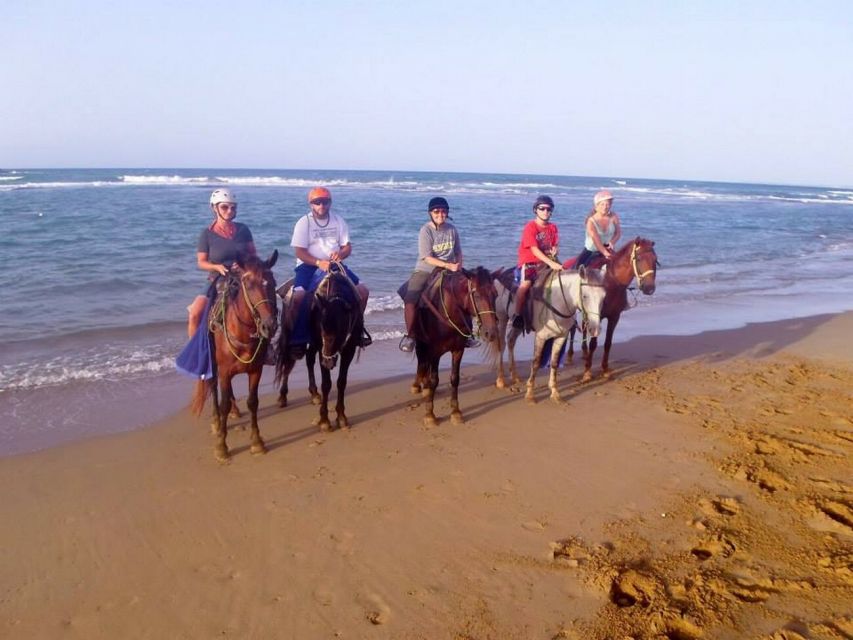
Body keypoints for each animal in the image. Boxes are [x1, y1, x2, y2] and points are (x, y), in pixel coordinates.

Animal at [189, 250, 276, 460]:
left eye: (272, 282)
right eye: (249, 285)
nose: (269, 325)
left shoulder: (256, 370)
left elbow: (253, 402)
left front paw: (257, 442)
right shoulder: (224, 372)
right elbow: (223, 405)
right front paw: (222, 446)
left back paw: (235, 411)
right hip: (213, 365)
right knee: (213, 388)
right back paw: (216, 420)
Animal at [274, 262, 364, 432]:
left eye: (342, 330)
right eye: (322, 328)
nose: (328, 363)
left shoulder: (348, 349)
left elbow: (342, 382)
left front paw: (341, 417)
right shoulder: (322, 348)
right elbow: (327, 384)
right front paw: (324, 420)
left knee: (309, 360)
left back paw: (314, 393)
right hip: (291, 338)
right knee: (287, 363)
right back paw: (282, 397)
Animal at [408, 268, 496, 428]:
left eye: (495, 294)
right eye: (477, 295)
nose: (491, 333)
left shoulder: (458, 350)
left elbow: (455, 379)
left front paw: (456, 413)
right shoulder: (435, 352)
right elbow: (434, 380)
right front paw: (430, 415)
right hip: (420, 341)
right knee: (421, 360)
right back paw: (418, 385)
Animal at [492, 268, 604, 402]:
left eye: (603, 297)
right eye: (585, 296)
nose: (595, 329)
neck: (559, 300)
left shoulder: (561, 336)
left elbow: (554, 362)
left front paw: (554, 392)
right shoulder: (541, 337)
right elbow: (536, 362)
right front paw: (530, 393)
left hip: (517, 326)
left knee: (511, 340)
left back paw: (514, 376)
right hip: (502, 319)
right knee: (501, 345)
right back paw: (500, 380)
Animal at [564, 238, 660, 382]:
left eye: (655, 259)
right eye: (638, 258)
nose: (649, 288)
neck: (611, 282)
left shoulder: (614, 317)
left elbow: (608, 343)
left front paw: (605, 369)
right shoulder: (597, 316)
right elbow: (593, 343)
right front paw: (587, 371)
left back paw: (584, 353)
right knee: (573, 329)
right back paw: (570, 356)